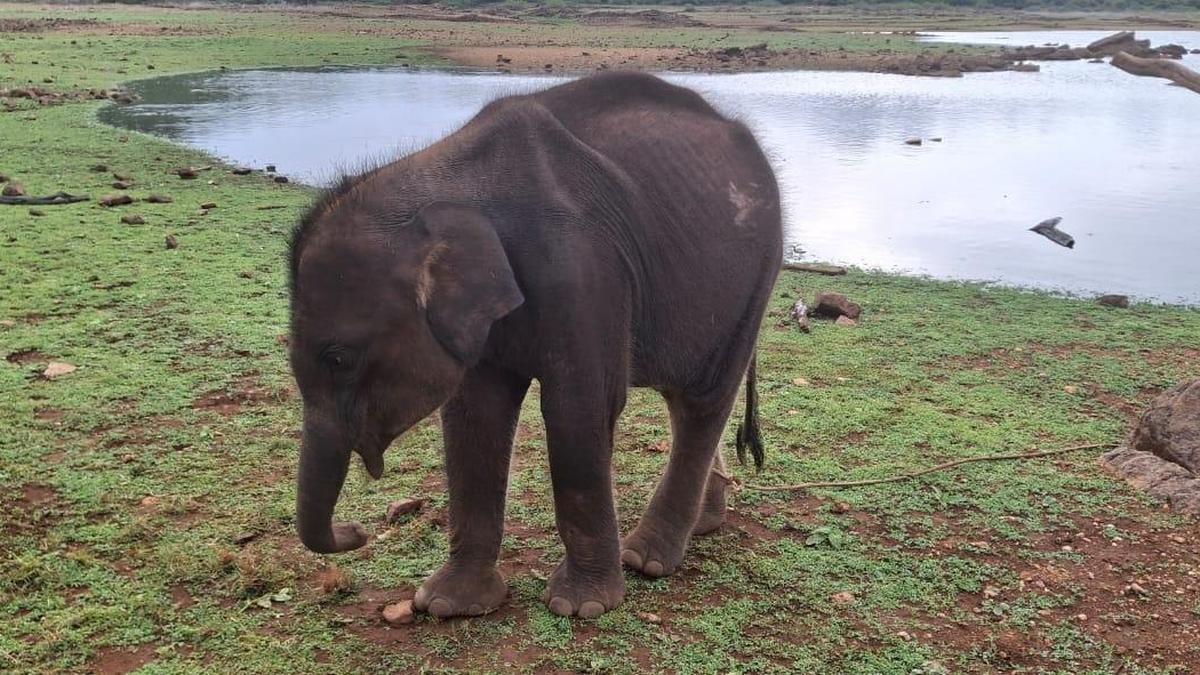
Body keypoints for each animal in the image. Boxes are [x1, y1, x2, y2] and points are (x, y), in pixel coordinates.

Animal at [288, 71, 782, 619]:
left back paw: (647, 561)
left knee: (702, 403)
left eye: (338, 359)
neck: (446, 182)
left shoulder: (583, 270)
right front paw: (448, 605)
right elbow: (476, 414)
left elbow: (578, 409)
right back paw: (702, 526)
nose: (355, 531)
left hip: (755, 275)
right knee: (683, 400)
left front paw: (580, 608)